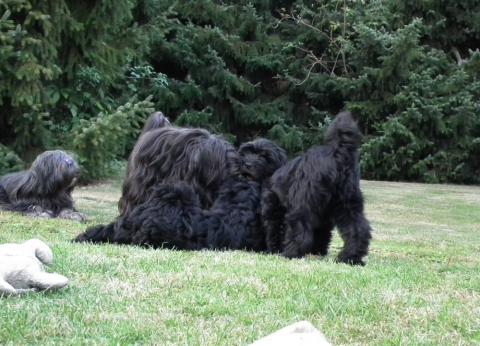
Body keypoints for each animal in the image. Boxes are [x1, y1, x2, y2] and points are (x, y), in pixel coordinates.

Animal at [262, 111, 372, 264]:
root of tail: (338, 153)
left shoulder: (275, 211)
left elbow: (277, 228)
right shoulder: (324, 218)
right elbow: (322, 233)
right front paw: (318, 251)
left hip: (303, 205)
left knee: (300, 230)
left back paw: (291, 253)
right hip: (349, 202)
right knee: (358, 229)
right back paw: (351, 257)